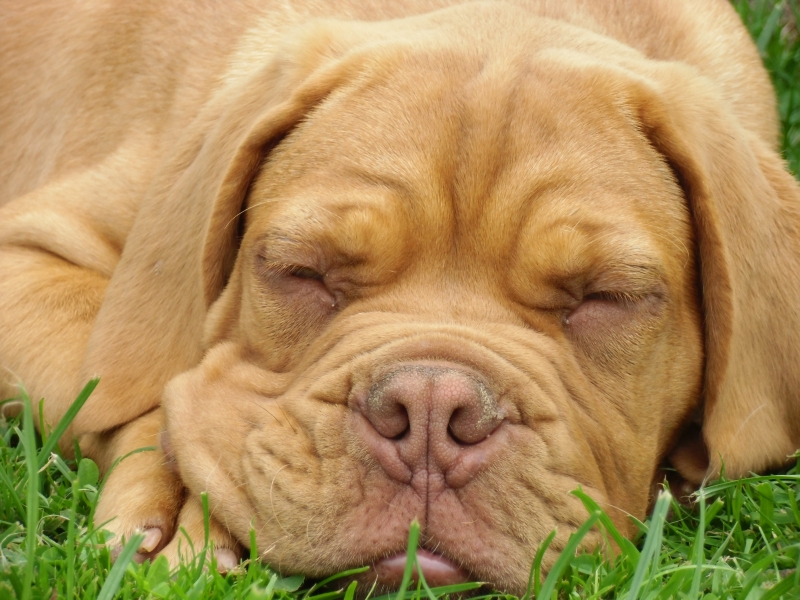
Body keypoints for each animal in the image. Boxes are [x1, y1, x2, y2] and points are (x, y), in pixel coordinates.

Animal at [2, 0, 800, 593]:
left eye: (606, 296)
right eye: (303, 272)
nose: (429, 412)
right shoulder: (28, 254)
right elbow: (146, 385)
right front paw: (172, 498)